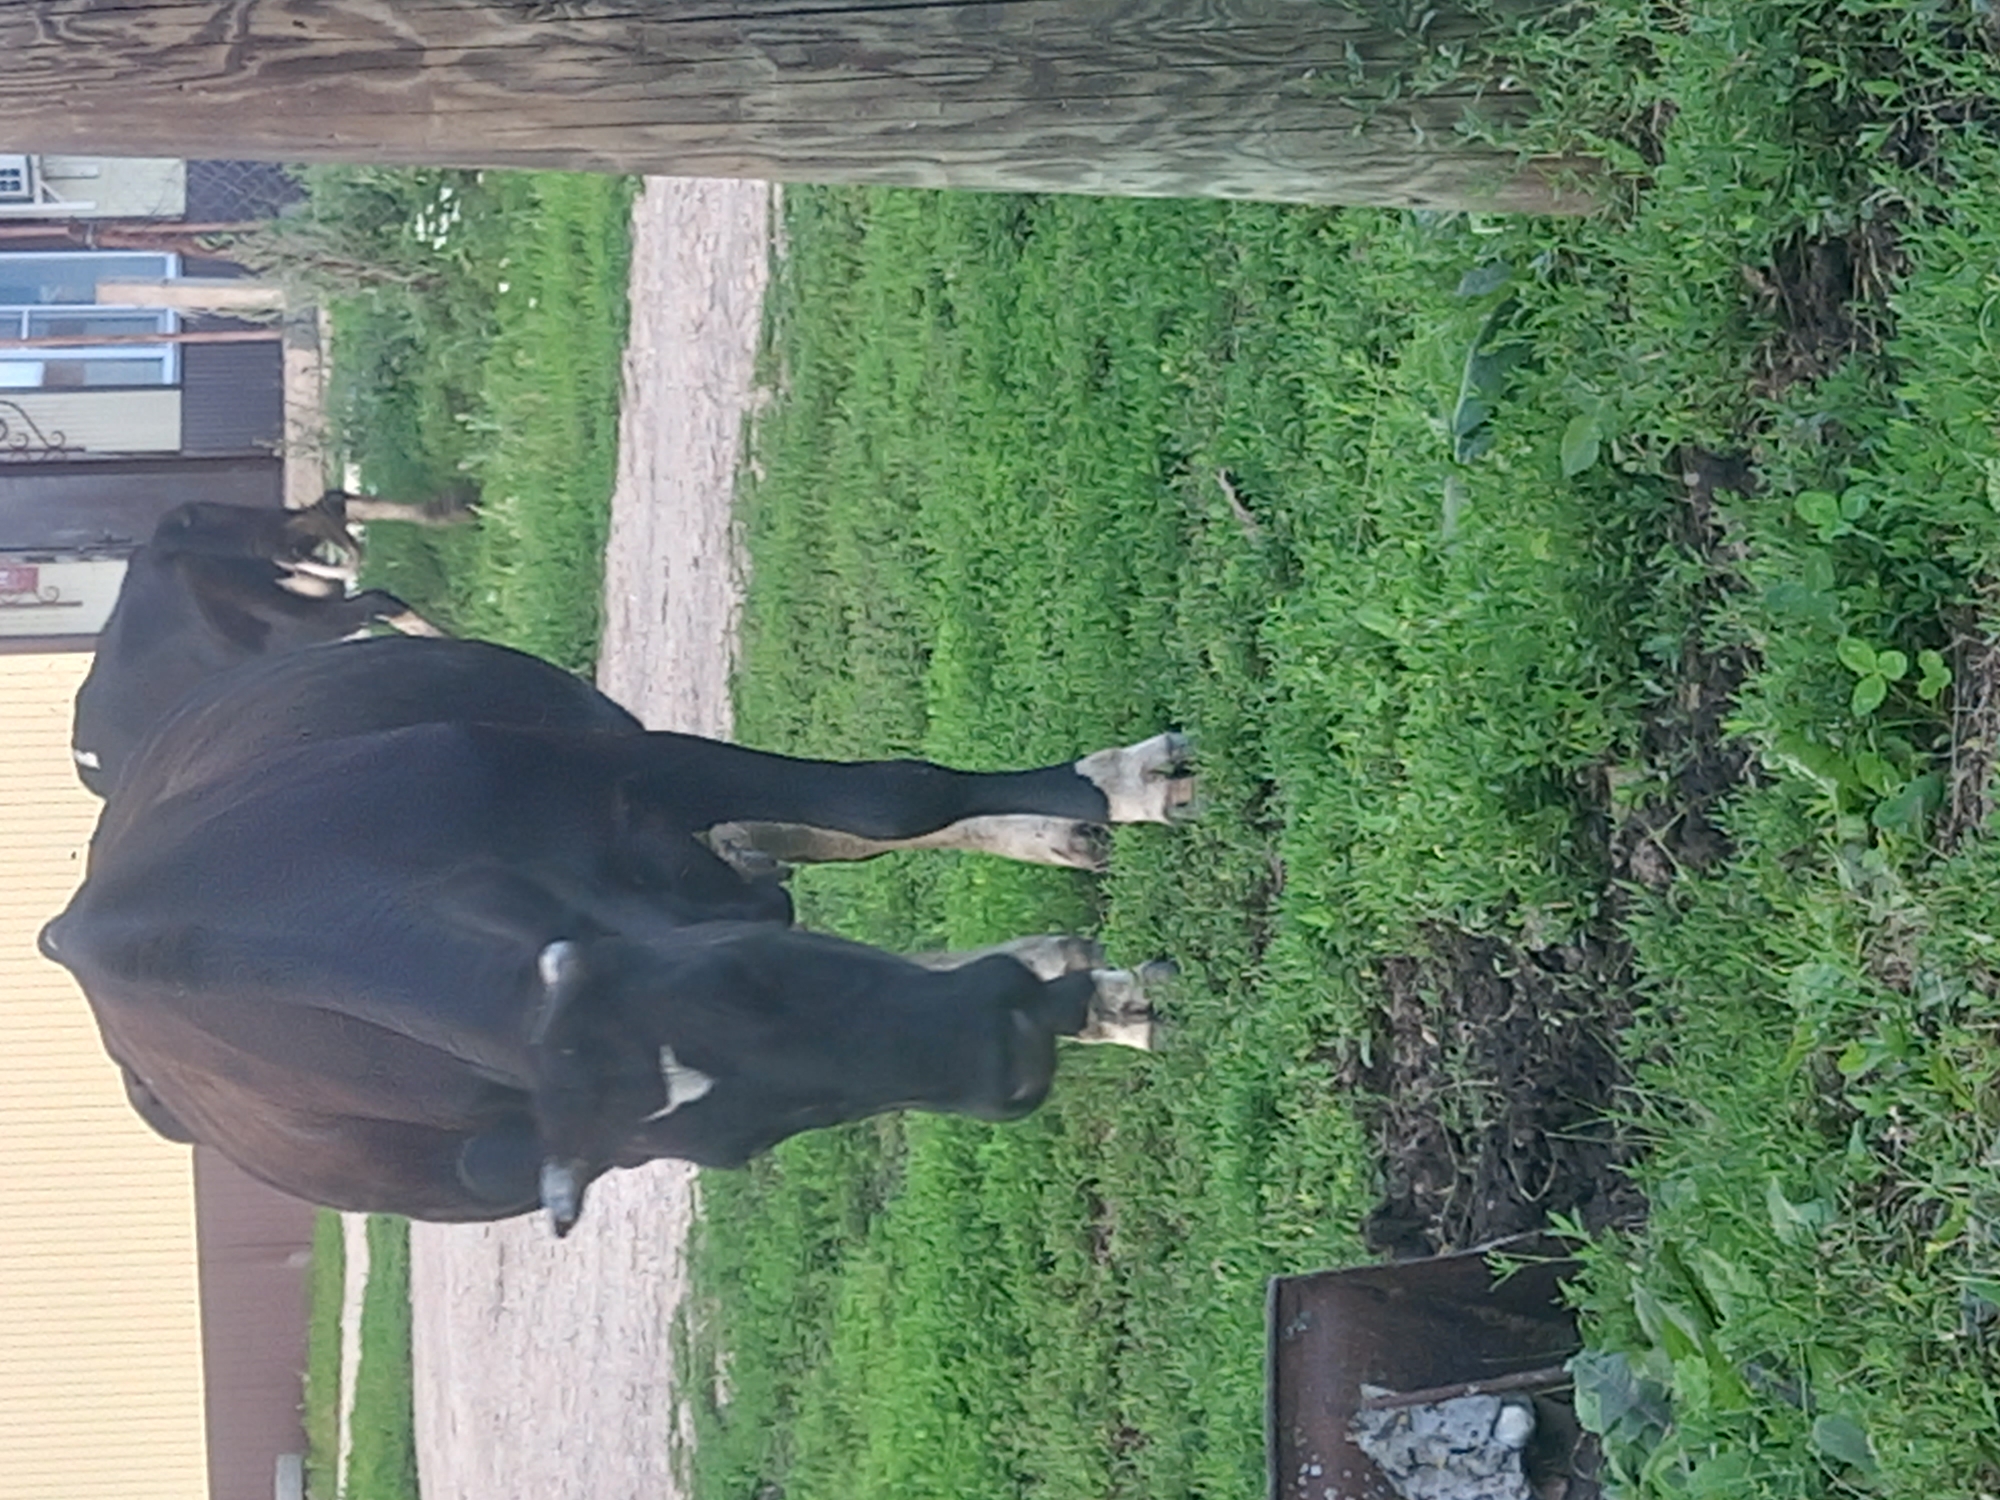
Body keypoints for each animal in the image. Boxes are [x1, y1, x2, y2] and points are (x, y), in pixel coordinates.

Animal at [42, 635, 1190, 1235]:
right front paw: (1087, 988)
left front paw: (1123, 785)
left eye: (765, 978)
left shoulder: (620, 770)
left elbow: (889, 797)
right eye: (746, 1140)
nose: (1004, 1054)